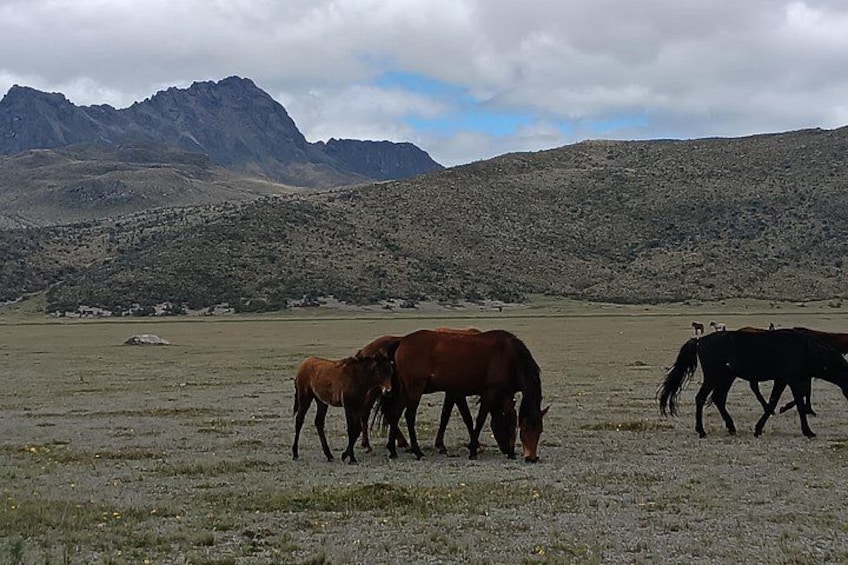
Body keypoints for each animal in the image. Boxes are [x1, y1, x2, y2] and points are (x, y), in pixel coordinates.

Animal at [378, 329, 547, 462]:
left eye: (539, 430)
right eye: (525, 429)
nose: (532, 457)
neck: (508, 355)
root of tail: (402, 341)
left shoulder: (505, 394)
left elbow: (511, 419)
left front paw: (511, 453)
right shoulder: (489, 393)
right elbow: (479, 420)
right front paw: (473, 451)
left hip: (404, 390)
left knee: (395, 413)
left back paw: (392, 450)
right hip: (415, 388)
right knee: (409, 415)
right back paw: (417, 451)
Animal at [658, 329, 848, 438]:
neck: (805, 349)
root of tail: (700, 340)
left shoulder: (782, 380)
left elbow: (773, 402)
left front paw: (758, 428)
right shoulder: (791, 379)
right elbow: (798, 404)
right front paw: (808, 432)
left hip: (727, 377)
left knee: (719, 399)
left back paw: (731, 427)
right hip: (713, 376)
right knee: (701, 398)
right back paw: (701, 431)